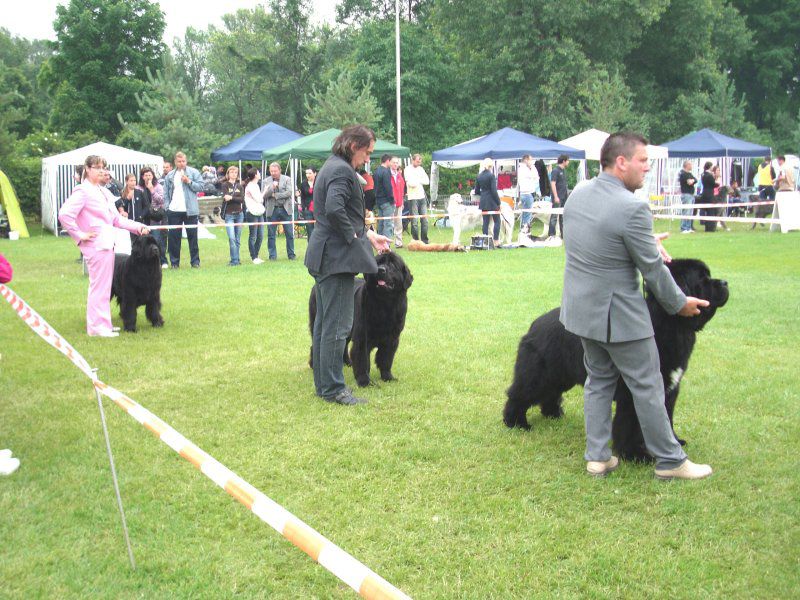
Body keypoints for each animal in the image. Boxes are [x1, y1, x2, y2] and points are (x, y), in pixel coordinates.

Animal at [310, 251, 416, 386]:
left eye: (393, 264)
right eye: (378, 263)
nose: (380, 269)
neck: (385, 305)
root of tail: (315, 286)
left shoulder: (392, 338)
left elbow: (386, 359)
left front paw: (387, 377)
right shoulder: (362, 338)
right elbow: (363, 360)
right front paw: (364, 381)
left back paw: (347, 362)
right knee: (315, 344)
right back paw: (313, 365)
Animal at [506, 260, 732, 462]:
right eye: (702, 279)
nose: (725, 282)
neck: (670, 323)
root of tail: (535, 324)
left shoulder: (669, 388)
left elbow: (666, 417)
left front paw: (674, 442)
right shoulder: (636, 389)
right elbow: (631, 424)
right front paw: (635, 455)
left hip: (560, 375)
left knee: (550, 394)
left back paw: (553, 414)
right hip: (539, 374)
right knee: (519, 394)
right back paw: (516, 423)